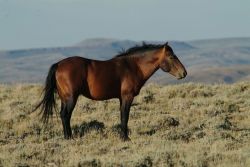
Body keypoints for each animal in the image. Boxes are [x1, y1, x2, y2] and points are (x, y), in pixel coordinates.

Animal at [34, 42, 187, 141]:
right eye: (172, 56)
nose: (184, 73)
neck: (133, 67)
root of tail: (59, 64)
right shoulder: (127, 97)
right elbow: (125, 117)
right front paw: (125, 138)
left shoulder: (121, 98)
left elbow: (122, 116)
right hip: (71, 98)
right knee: (66, 115)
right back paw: (69, 138)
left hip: (64, 98)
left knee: (63, 115)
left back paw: (67, 137)